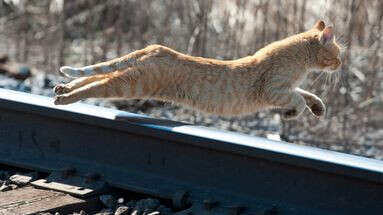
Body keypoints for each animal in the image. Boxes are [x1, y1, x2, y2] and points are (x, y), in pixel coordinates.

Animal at [53, 20, 342, 120]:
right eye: (338, 53)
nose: (341, 64)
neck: (300, 58)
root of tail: (157, 48)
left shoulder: (285, 89)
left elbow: (306, 94)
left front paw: (318, 108)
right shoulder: (273, 89)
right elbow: (298, 98)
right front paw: (294, 113)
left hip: (130, 76)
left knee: (96, 76)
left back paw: (62, 87)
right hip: (131, 85)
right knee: (96, 85)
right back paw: (64, 98)